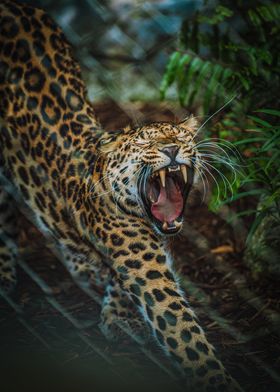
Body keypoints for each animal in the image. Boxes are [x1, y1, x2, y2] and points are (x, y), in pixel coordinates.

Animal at [0, 1, 242, 390]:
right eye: (146, 144)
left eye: (181, 137)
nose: (172, 148)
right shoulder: (148, 271)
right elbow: (185, 334)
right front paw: (216, 378)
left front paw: (114, 313)